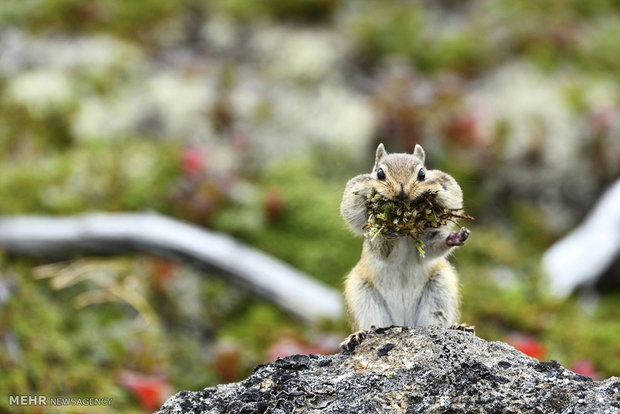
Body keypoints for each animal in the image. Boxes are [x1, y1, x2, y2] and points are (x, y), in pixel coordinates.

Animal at [340, 144, 470, 348]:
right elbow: (382, 250)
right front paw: (388, 231)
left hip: (440, 288)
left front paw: (456, 236)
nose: (402, 191)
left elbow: (431, 247)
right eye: (379, 173)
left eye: (423, 173)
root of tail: (403, 323)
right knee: (372, 325)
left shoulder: (424, 241)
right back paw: (357, 336)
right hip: (363, 296)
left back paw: (457, 327)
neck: (406, 236)